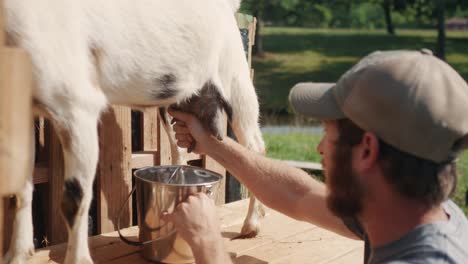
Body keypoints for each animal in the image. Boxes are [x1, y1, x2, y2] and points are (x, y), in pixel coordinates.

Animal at [4, 1, 264, 262]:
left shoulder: (77, 105)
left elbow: (74, 199)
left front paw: (78, 259)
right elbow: (21, 186)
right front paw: (17, 255)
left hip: (234, 74)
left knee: (255, 146)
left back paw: (251, 225)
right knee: (180, 149)